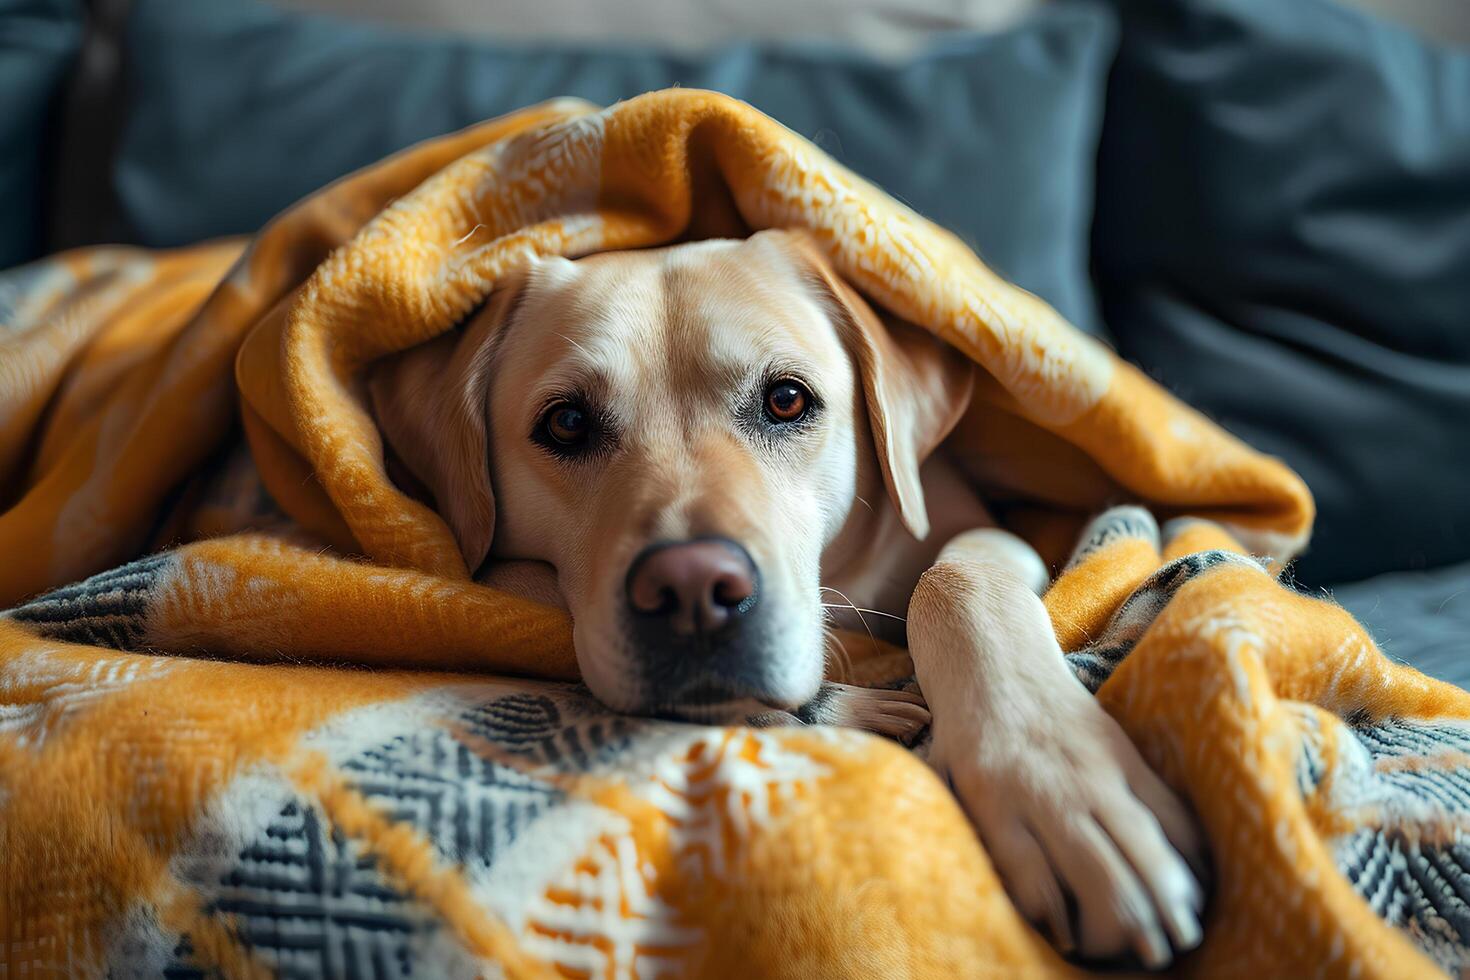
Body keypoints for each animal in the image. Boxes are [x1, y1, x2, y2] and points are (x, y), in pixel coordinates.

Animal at [367, 227, 1205, 963]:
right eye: (567, 422)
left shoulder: (983, 529)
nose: (693, 590)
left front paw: (1056, 780)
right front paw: (850, 709)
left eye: (787, 401)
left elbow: (953, 576)